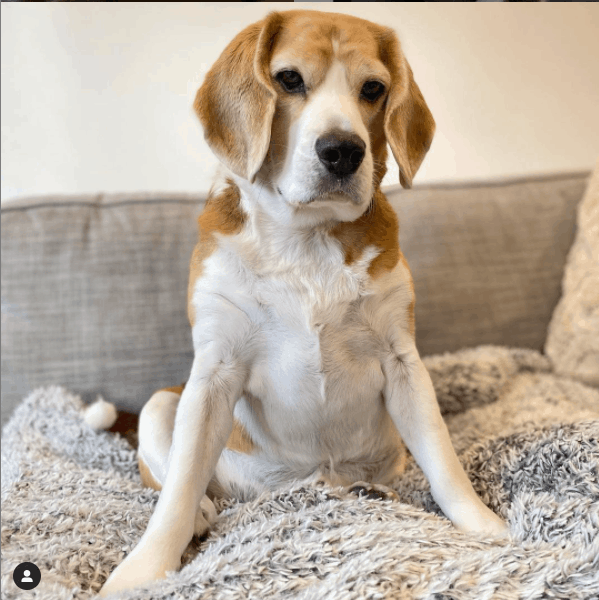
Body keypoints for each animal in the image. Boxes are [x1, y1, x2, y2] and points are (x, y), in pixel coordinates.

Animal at [101, 9, 508, 596]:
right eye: (289, 79)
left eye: (373, 88)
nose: (343, 150)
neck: (307, 240)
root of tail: (306, 483)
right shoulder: (214, 372)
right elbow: (177, 491)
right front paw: (144, 568)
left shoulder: (402, 362)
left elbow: (444, 462)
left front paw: (486, 529)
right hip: (164, 402)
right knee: (180, 478)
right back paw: (205, 512)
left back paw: (367, 491)